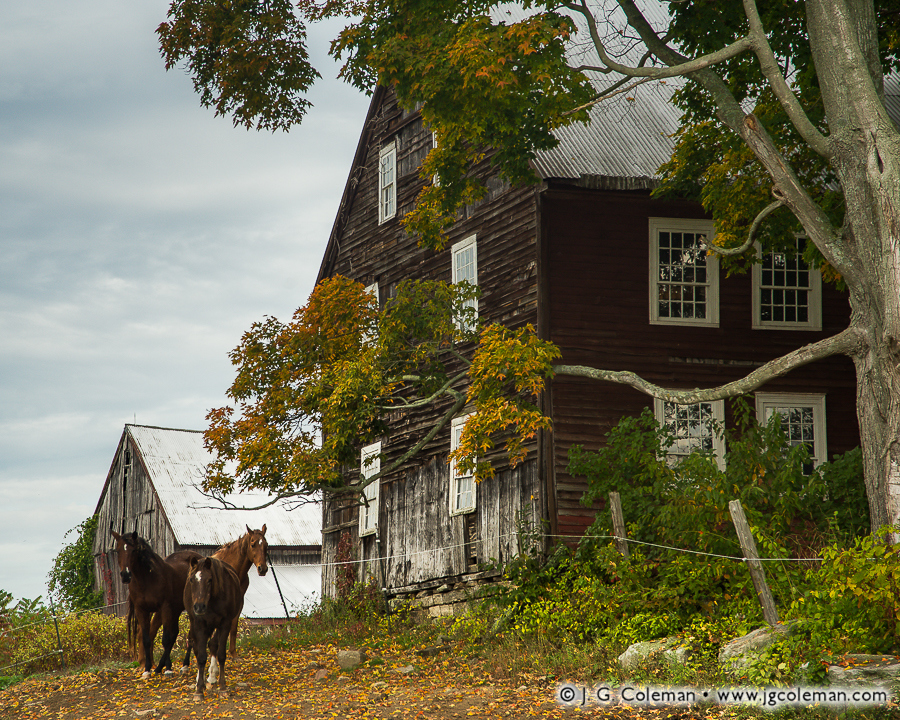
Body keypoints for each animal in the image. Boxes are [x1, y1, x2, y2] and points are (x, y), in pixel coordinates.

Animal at [112, 528, 193, 676]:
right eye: (118, 550)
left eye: (133, 550)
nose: (125, 575)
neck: (147, 579)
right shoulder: (142, 610)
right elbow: (147, 639)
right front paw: (147, 669)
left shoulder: (165, 608)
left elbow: (165, 639)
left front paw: (168, 668)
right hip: (176, 609)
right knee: (175, 633)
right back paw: (159, 667)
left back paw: (184, 665)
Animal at [185, 556, 244, 700]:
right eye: (192, 580)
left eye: (210, 580)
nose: (199, 607)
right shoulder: (199, 624)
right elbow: (201, 656)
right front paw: (199, 690)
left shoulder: (225, 623)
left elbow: (221, 654)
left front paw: (222, 688)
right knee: (197, 647)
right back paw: (199, 680)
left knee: (212, 644)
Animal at [214, 524, 268, 656]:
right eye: (253, 544)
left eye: (266, 545)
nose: (262, 569)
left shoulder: (239, 602)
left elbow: (233, 627)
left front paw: (233, 653)